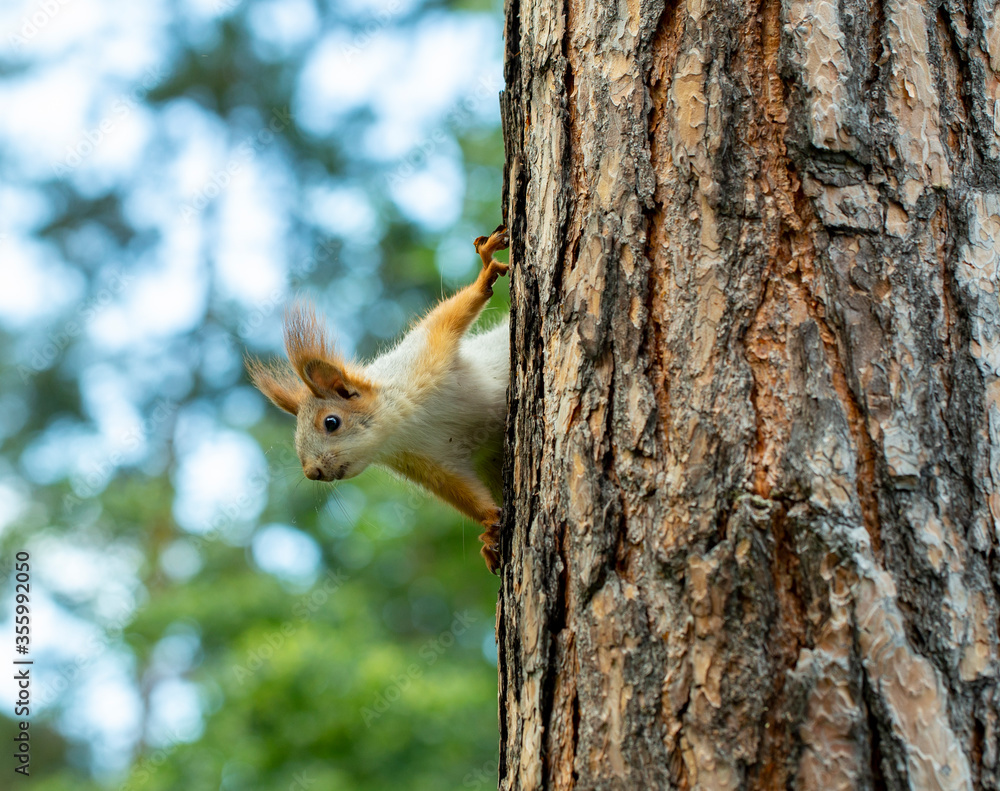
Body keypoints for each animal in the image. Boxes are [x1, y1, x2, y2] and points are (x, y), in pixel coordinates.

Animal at [246, 225, 511, 573]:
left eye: (331, 422)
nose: (312, 472)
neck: (401, 427)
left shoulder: (424, 355)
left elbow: (451, 315)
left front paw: (485, 272)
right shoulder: (428, 461)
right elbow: (462, 491)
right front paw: (489, 526)